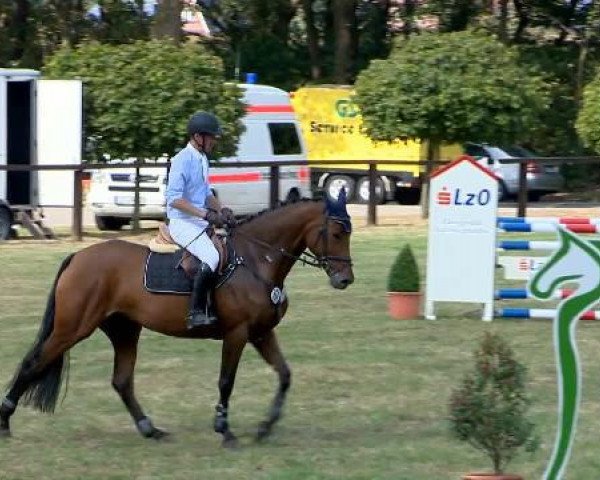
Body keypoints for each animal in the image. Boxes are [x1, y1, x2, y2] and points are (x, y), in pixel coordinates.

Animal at [0, 193, 354, 448]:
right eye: (337, 233)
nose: (345, 280)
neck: (256, 260)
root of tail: (77, 257)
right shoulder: (237, 334)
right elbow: (226, 381)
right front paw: (225, 430)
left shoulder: (261, 333)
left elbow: (284, 374)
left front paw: (265, 427)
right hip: (72, 329)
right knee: (33, 363)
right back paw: (4, 421)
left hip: (124, 330)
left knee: (121, 381)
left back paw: (150, 430)